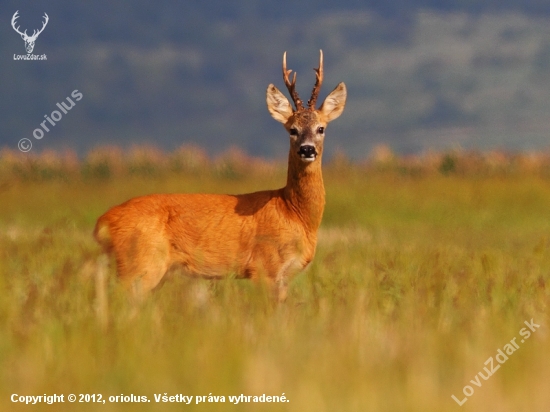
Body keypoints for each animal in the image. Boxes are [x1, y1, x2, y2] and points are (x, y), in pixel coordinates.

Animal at [92, 50, 348, 300]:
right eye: (292, 130)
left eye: (321, 128)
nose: (307, 149)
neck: (294, 212)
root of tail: (101, 224)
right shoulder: (264, 267)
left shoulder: (282, 277)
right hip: (139, 265)